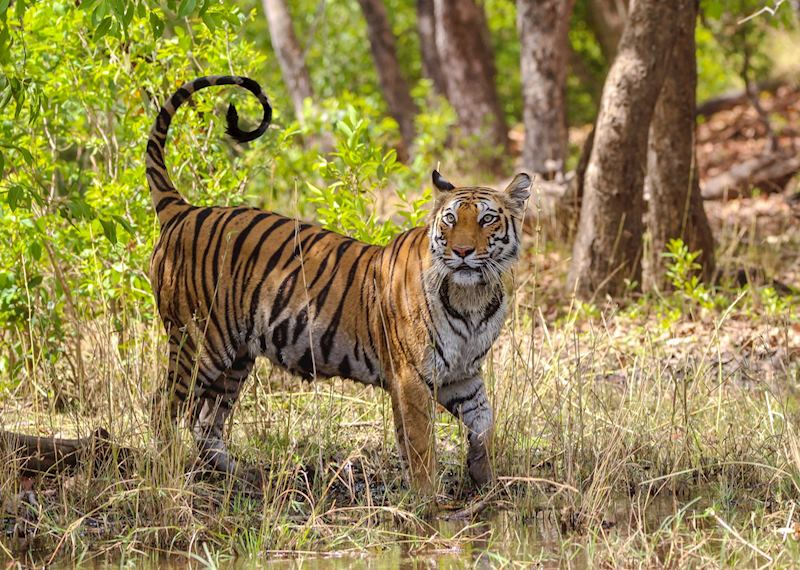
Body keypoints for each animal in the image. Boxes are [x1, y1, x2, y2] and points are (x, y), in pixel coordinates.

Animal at [146, 75, 531, 494]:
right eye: (449, 219)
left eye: (487, 219)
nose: (461, 251)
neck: (473, 295)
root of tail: (183, 210)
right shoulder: (412, 377)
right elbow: (420, 445)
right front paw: (428, 499)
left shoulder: (462, 375)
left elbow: (484, 423)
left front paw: (484, 479)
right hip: (199, 342)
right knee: (163, 408)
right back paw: (164, 474)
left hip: (236, 357)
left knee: (206, 420)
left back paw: (240, 476)